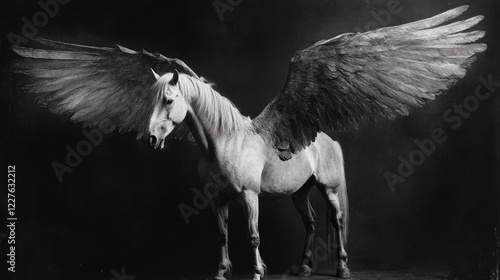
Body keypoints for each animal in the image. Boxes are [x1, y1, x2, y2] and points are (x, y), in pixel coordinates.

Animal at [13, 6, 486, 280]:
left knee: (335, 220)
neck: (223, 143)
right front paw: (223, 272)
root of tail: (325, 138)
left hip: (328, 187)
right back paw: (303, 268)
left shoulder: (249, 196)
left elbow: (254, 235)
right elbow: (223, 234)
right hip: (300, 192)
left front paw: (257, 272)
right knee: (310, 223)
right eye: (151, 99)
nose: (149, 139)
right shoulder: (219, 199)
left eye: (170, 100)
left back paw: (342, 268)